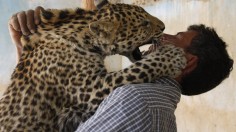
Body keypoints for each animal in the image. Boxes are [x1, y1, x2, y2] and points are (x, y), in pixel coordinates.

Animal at [0, 0, 186, 131]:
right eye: (144, 23)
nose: (163, 26)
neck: (84, 36)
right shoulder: (90, 89)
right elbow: (140, 68)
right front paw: (172, 55)